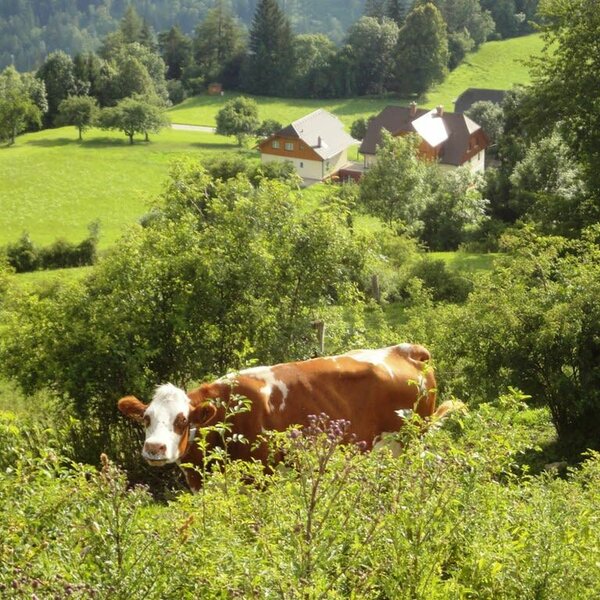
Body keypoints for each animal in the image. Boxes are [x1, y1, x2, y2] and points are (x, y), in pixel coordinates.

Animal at [116, 342, 446, 492]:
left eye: (182, 420)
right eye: (146, 418)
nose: (155, 448)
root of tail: (406, 349)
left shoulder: (259, 479)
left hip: (413, 444)